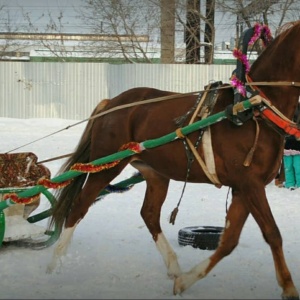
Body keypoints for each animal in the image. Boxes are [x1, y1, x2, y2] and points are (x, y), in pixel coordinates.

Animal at [46, 22, 300, 298]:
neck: (252, 108)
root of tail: (111, 103)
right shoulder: (249, 184)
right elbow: (272, 233)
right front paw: (288, 287)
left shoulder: (244, 188)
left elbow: (229, 241)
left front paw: (186, 280)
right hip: (105, 168)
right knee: (79, 207)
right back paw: (54, 265)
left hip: (156, 174)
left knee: (148, 214)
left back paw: (174, 267)